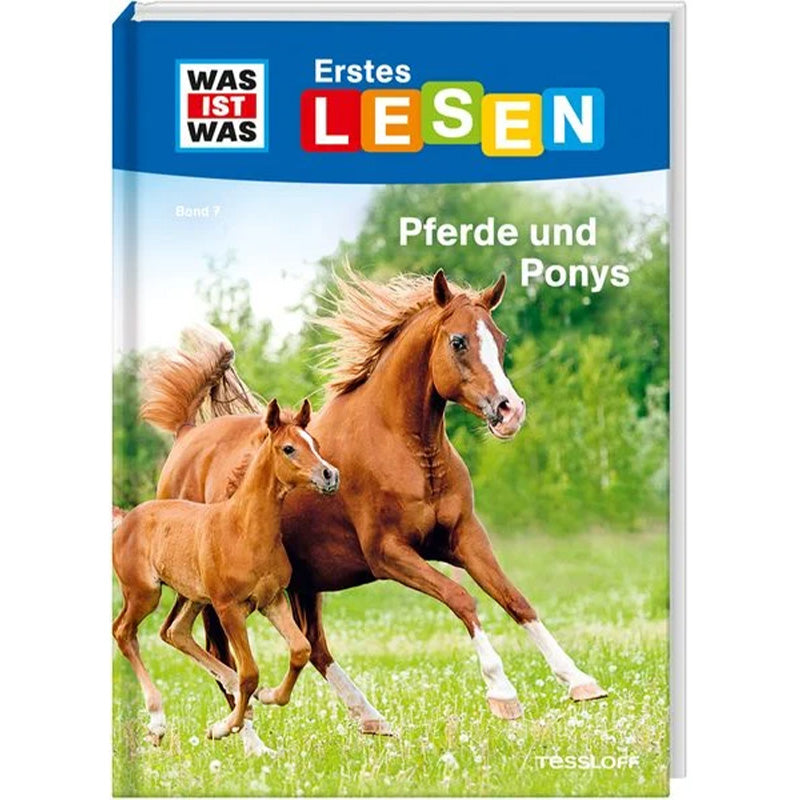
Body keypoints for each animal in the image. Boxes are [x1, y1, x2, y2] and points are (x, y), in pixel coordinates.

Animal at [112, 398, 339, 753]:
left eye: (314, 443)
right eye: (288, 448)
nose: (330, 475)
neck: (244, 529)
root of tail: (125, 519)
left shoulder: (272, 601)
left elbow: (300, 649)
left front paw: (269, 696)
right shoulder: (229, 609)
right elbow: (250, 672)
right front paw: (223, 727)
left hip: (192, 596)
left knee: (175, 632)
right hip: (145, 594)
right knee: (124, 632)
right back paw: (158, 722)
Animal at [143, 268, 606, 752]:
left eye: (500, 339)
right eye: (459, 341)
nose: (509, 410)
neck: (403, 446)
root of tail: (185, 437)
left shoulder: (464, 538)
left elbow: (515, 599)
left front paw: (579, 680)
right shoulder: (388, 554)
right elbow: (461, 598)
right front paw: (502, 693)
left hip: (303, 582)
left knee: (313, 646)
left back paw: (369, 716)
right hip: (216, 594)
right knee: (223, 655)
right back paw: (251, 742)